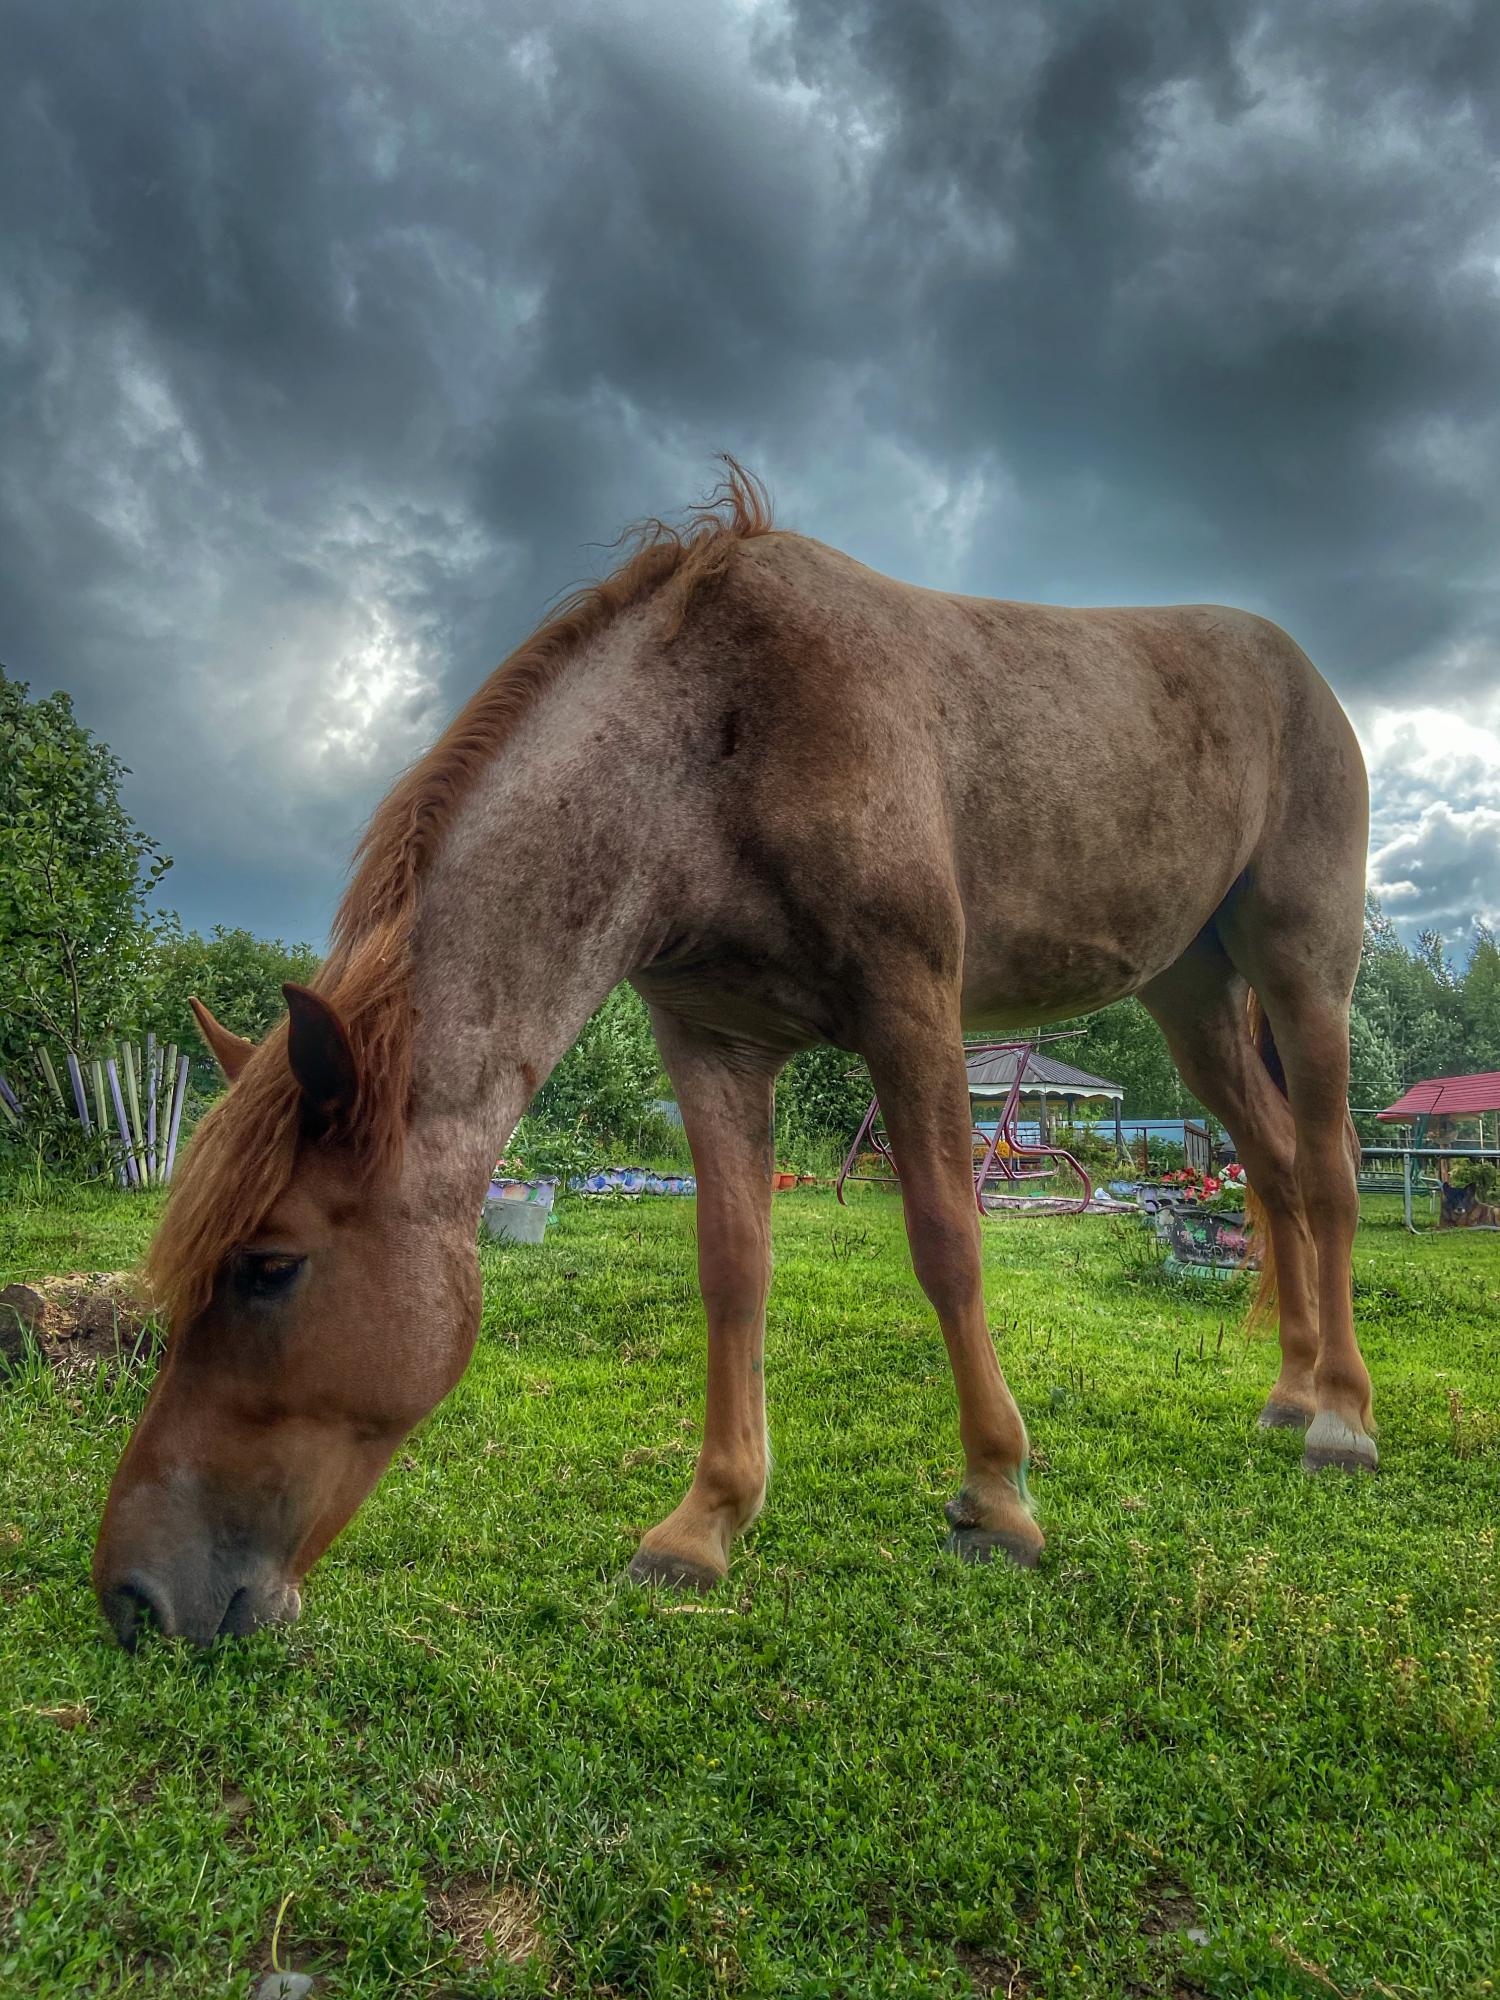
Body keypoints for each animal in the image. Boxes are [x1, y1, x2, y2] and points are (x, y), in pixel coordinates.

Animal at [93, 464, 1375, 1647]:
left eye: (267, 1266)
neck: (715, 745)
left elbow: (948, 1242)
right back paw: (1288, 1391)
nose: (134, 1596)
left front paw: (997, 1495)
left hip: (1306, 972)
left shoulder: (912, 1006)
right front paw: (707, 1519)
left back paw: (1342, 1419)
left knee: (1327, 1172)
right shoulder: (713, 1042)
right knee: (1267, 1165)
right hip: (1191, 994)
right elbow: (733, 1264)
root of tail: (1301, 671)